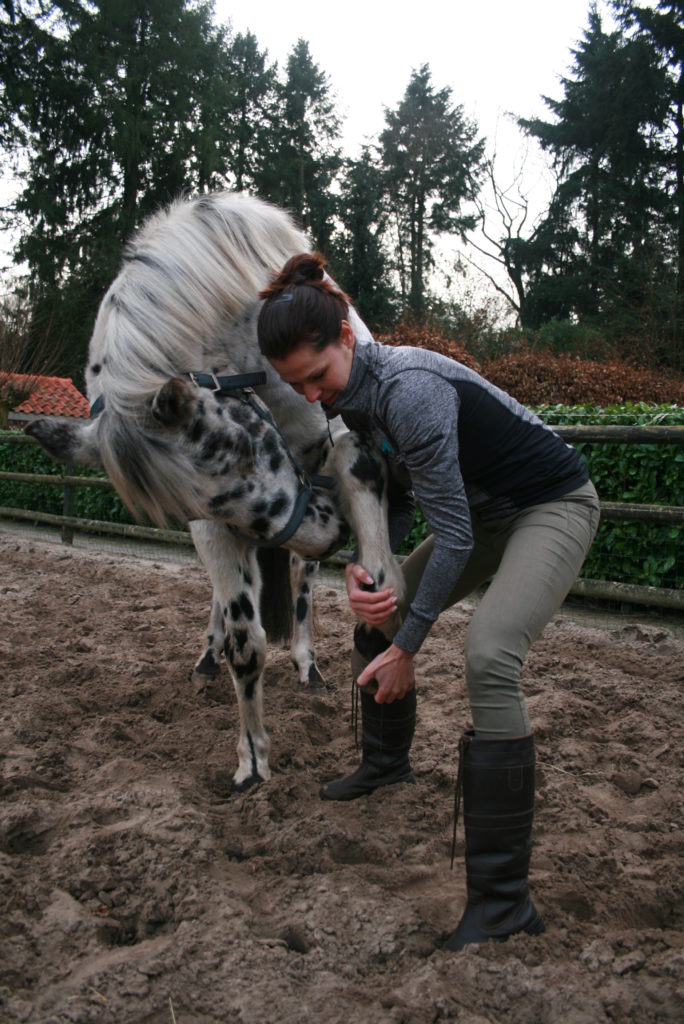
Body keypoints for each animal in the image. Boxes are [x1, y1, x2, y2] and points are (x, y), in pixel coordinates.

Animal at [27, 191, 404, 791]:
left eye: (253, 445)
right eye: (187, 502)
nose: (330, 532)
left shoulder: (343, 446)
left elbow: (370, 563)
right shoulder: (214, 522)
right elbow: (244, 644)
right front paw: (252, 761)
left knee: (300, 582)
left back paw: (308, 665)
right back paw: (208, 658)